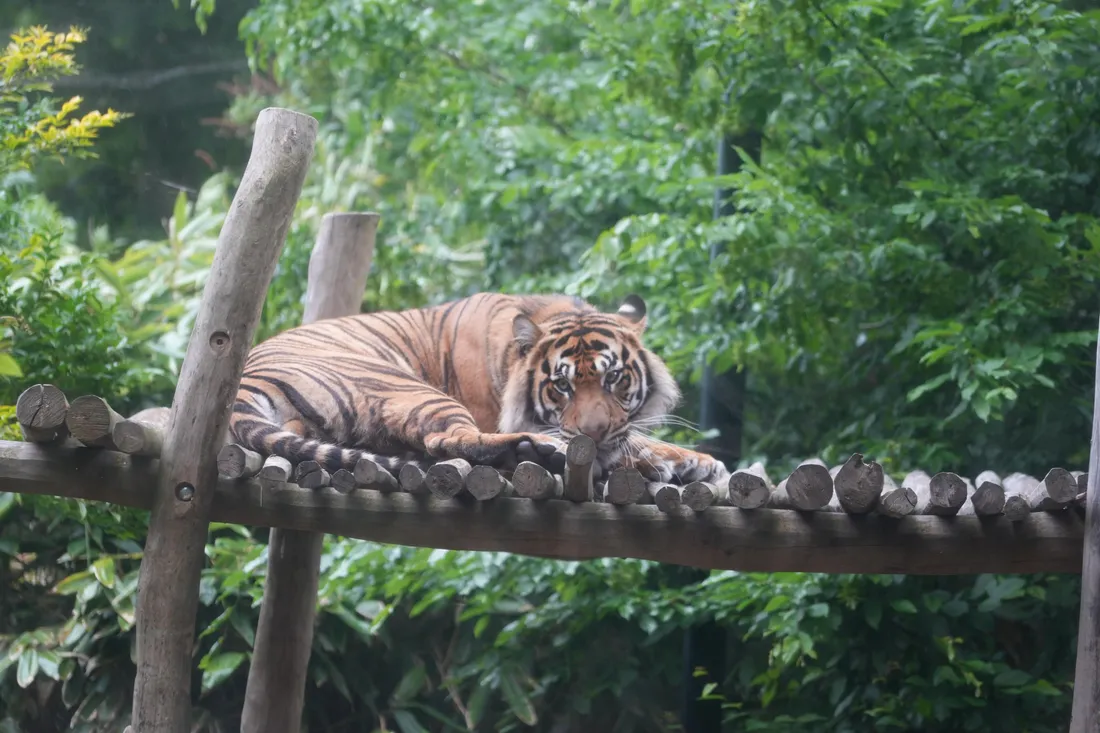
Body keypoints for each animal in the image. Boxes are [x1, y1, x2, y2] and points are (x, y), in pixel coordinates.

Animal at [229, 292, 731, 486]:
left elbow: (633, 440)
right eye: (562, 386)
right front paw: (689, 462)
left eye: (614, 378)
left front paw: (691, 461)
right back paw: (539, 449)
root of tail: (243, 381)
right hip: (409, 387)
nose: (593, 433)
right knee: (448, 440)